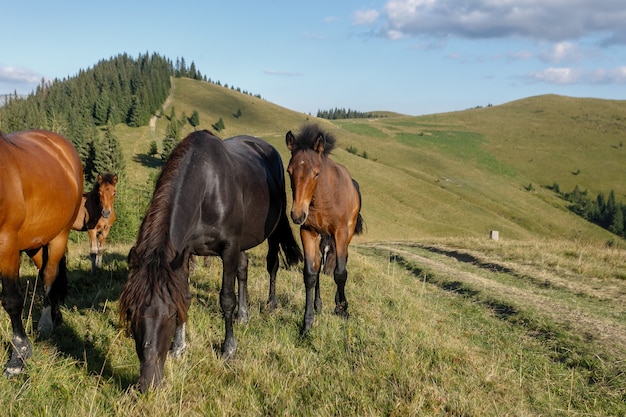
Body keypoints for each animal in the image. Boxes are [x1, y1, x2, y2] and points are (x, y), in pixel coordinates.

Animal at [0, 129, 83, 374]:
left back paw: (46, 324)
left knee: (49, 275)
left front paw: (18, 357)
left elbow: (12, 299)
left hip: (59, 235)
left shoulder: (6, 243)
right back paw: (56, 316)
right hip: (34, 243)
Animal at [120, 129, 302, 390]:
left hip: (273, 229)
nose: (148, 383)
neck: (207, 188)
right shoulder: (183, 252)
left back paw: (271, 304)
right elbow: (185, 296)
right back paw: (244, 315)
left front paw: (228, 349)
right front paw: (179, 347)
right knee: (243, 270)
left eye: (168, 315)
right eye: (132, 313)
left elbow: (226, 299)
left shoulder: (229, 248)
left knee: (272, 264)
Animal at [282, 124, 360, 334]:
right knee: (318, 266)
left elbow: (340, 273)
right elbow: (310, 273)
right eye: (289, 171)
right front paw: (307, 323)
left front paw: (342, 309)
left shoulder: (340, 233)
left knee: (343, 262)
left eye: (316, 172)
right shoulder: (308, 232)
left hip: (347, 233)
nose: (297, 214)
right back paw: (318, 305)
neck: (325, 197)